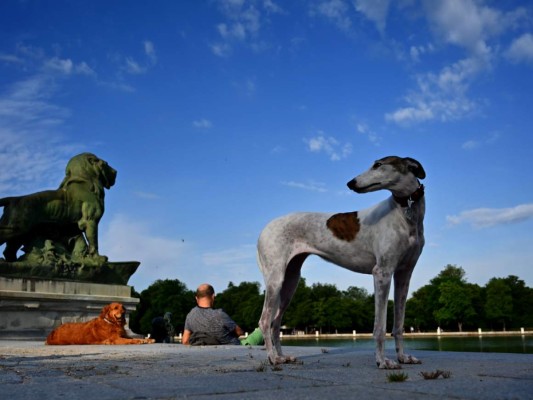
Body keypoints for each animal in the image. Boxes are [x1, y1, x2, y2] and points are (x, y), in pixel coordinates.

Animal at [256, 156, 426, 368]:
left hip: (290, 282)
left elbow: (399, 324)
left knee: (276, 322)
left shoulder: (404, 274)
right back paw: (272, 358)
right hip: (275, 279)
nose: (350, 183)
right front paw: (382, 361)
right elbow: (380, 326)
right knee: (264, 320)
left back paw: (282, 356)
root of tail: (264, 230)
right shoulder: (382, 272)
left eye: (378, 165)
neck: (403, 212)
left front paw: (403, 357)